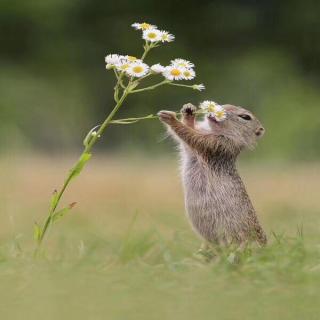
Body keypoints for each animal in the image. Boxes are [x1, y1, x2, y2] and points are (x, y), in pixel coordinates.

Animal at [158, 104, 268, 246]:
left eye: (245, 117)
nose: (219, 107)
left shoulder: (218, 144)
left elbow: (192, 136)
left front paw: (171, 118)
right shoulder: (198, 148)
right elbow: (189, 140)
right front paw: (188, 111)